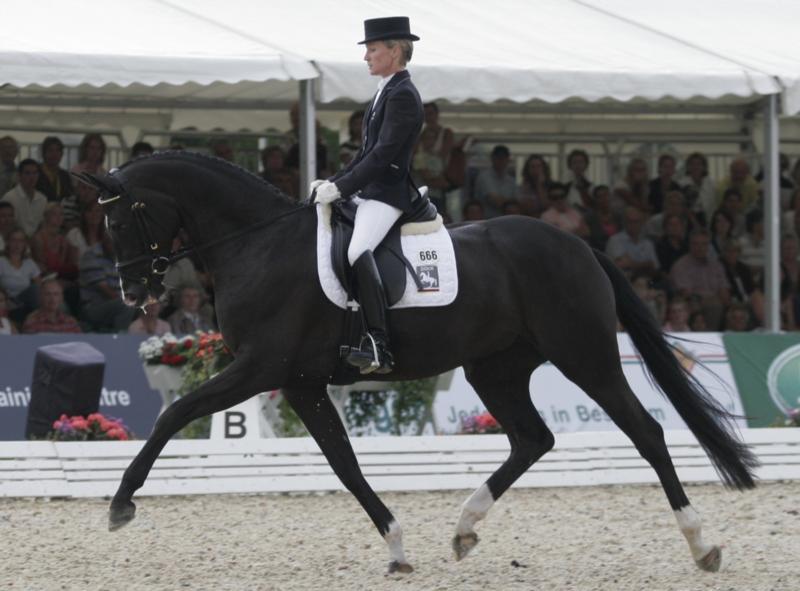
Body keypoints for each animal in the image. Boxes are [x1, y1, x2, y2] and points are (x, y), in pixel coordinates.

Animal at [76, 151, 756, 572]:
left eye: (123, 218)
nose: (132, 293)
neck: (256, 243)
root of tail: (579, 244)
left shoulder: (260, 368)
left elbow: (174, 415)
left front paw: (121, 504)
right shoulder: (300, 382)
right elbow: (345, 465)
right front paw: (398, 547)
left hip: (584, 356)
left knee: (645, 432)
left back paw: (702, 545)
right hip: (496, 367)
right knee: (531, 439)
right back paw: (464, 529)